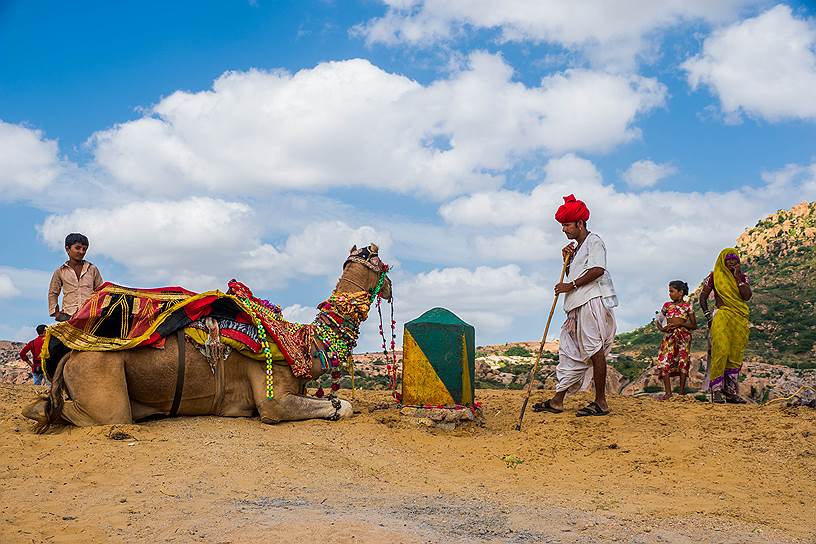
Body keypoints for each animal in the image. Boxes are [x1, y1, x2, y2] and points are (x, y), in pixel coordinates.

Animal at [23, 244, 394, 432]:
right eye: (382, 262)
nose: (390, 287)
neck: (302, 343)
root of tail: (70, 355)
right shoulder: (273, 399)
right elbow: (342, 406)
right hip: (101, 379)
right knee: (86, 414)